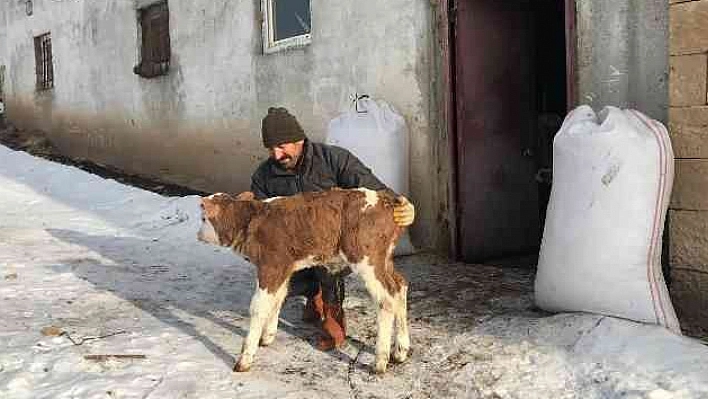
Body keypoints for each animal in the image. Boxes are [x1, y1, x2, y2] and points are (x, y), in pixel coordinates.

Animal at [196, 188, 412, 376]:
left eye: (203, 218)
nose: (198, 235)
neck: (250, 221)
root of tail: (384, 199)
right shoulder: (283, 270)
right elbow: (277, 299)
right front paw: (267, 337)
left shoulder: (270, 267)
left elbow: (258, 307)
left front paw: (244, 360)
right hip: (384, 261)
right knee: (400, 287)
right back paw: (400, 351)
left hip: (366, 259)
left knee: (386, 300)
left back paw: (380, 362)